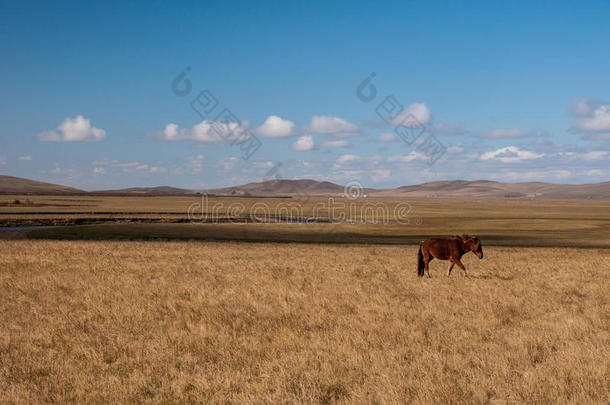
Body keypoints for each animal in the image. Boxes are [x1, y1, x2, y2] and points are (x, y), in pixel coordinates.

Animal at [0, 240, 604, 400]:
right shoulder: (453, 259)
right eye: (482, 245)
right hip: (427, 259)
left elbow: (455, 274)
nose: (486, 253)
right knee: (429, 270)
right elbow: (455, 272)